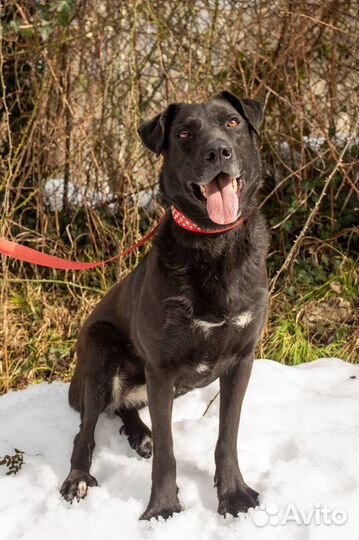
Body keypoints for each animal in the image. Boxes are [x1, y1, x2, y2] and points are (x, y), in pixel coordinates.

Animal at [60, 92, 268, 520]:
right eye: (185, 133)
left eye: (233, 123)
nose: (218, 152)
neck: (213, 243)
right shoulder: (160, 367)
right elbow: (168, 454)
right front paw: (162, 509)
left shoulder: (241, 358)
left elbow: (227, 435)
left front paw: (233, 494)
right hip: (101, 352)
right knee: (86, 428)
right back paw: (78, 477)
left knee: (124, 407)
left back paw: (140, 435)